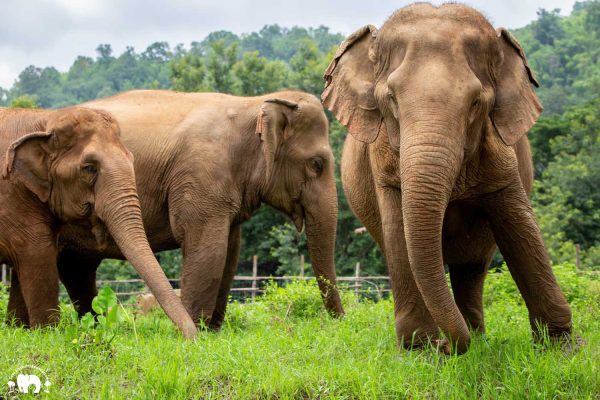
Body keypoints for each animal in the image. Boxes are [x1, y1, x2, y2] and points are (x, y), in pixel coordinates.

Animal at [0, 106, 196, 338]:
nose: (192, 338)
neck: (45, 119)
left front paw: (19, 328)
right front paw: (46, 332)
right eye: (89, 168)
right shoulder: (12, 197)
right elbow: (38, 253)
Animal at [55, 90, 346, 328]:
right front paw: (198, 332)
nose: (339, 322)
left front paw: (214, 331)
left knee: (76, 268)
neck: (251, 104)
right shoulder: (202, 176)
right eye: (316, 164)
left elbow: (230, 252)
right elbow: (207, 249)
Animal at [324, 3, 572, 354]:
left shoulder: (499, 155)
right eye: (391, 100)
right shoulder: (382, 161)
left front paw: (563, 349)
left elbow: (520, 225)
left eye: (476, 103)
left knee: (471, 267)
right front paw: (420, 350)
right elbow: (398, 229)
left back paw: (476, 336)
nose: (445, 345)